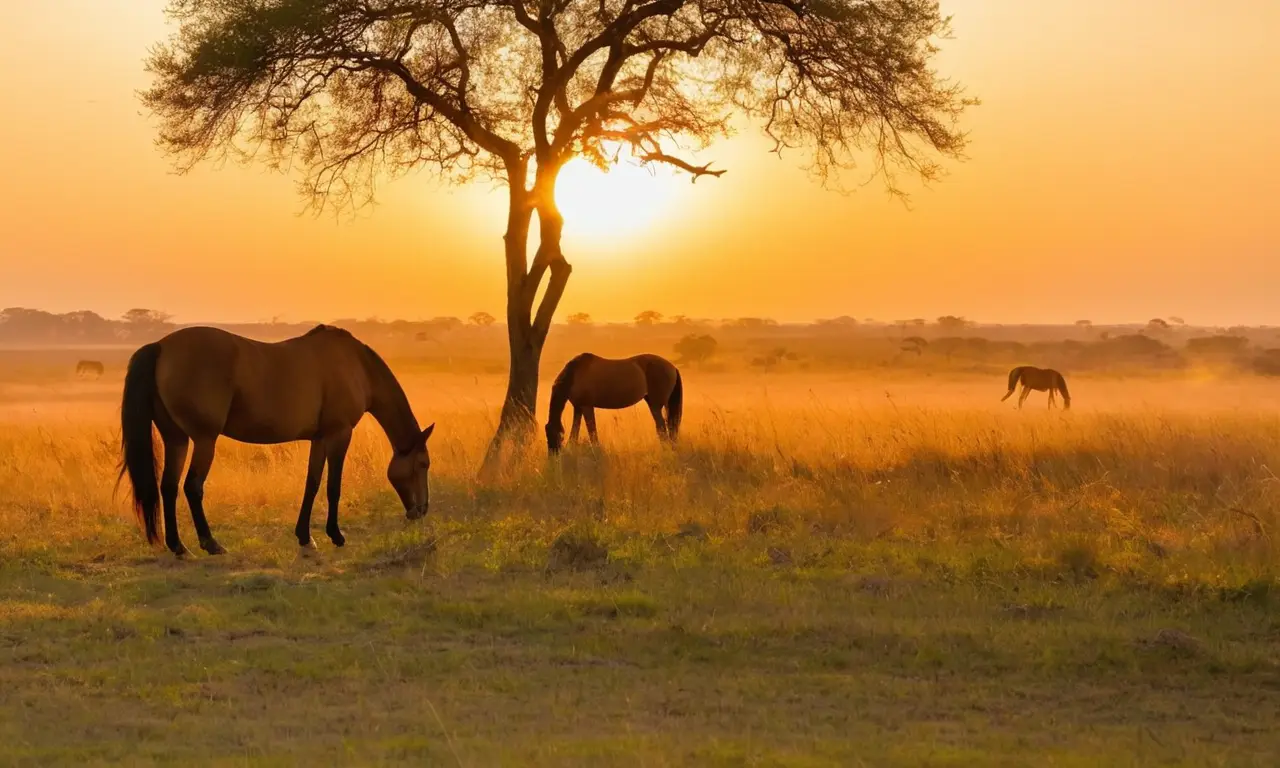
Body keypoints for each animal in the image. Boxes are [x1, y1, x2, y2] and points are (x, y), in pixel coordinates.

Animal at [118, 325, 434, 558]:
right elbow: (333, 487)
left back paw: (179, 547)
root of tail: (161, 347)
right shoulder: (339, 434)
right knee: (192, 487)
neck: (356, 367)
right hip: (204, 440)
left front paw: (305, 538)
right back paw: (211, 544)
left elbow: (312, 484)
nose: (421, 510)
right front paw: (336, 535)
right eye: (423, 464)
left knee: (169, 488)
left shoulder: (320, 438)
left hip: (177, 440)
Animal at [544, 353, 682, 454]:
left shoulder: (587, 406)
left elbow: (592, 430)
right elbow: (575, 432)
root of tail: (672, 367)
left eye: (555, 434)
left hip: (656, 405)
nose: (553, 456)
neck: (574, 375)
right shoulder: (578, 407)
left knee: (662, 428)